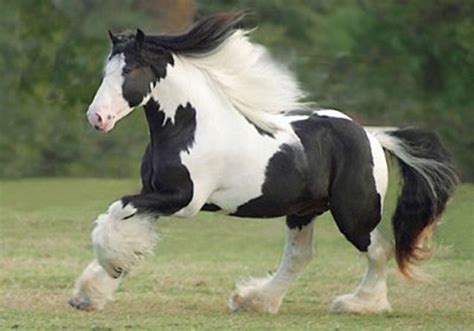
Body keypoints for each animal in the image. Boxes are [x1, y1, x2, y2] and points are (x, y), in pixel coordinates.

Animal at [68, 12, 458, 314]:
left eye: (130, 70)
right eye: (106, 71)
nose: (97, 118)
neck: (190, 125)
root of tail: (372, 136)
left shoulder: (183, 200)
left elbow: (118, 211)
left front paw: (106, 272)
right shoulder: (154, 194)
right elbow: (128, 228)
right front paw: (92, 292)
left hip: (353, 214)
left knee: (378, 251)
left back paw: (359, 304)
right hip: (303, 211)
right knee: (300, 257)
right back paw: (254, 301)